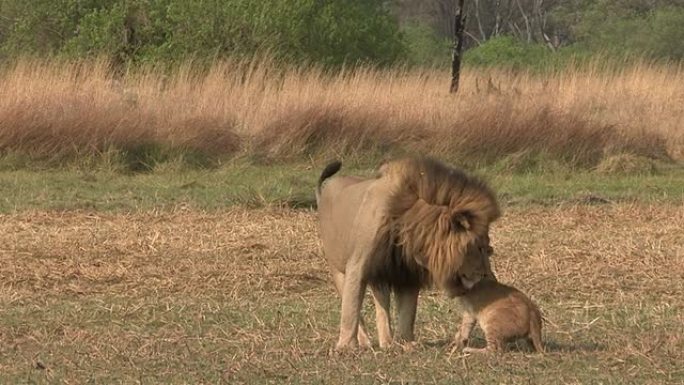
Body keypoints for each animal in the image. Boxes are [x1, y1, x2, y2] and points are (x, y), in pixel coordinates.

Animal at [316, 157, 502, 352]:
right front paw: (345, 347)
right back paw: (365, 343)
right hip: (337, 268)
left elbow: (408, 312)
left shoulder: (407, 273)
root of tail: (326, 189)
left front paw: (406, 343)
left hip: (380, 274)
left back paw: (386, 342)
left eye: (488, 248)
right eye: (480, 247)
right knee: (353, 307)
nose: (489, 277)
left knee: (382, 306)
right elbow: (350, 308)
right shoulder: (358, 266)